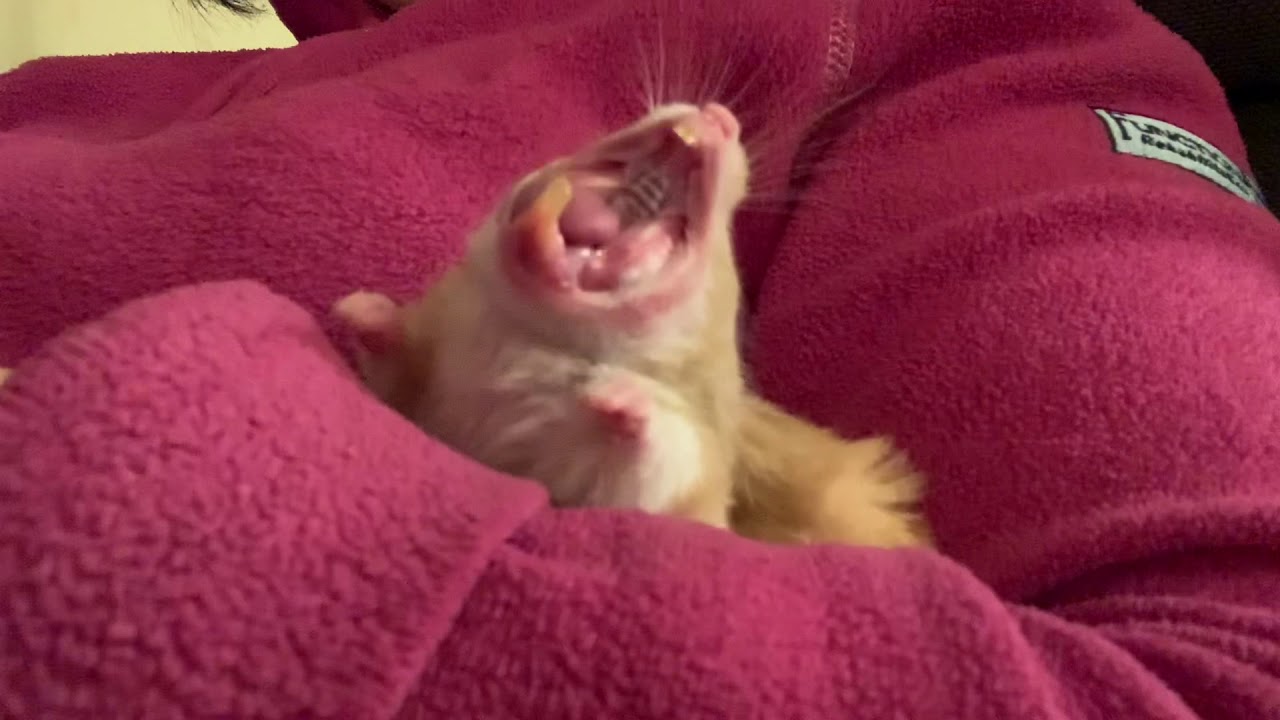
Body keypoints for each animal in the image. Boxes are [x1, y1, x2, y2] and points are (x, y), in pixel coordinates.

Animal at [334, 102, 930, 548]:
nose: (719, 115)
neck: (531, 336)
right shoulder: (429, 389)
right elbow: (398, 361)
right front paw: (356, 306)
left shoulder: (684, 487)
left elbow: (661, 463)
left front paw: (613, 393)